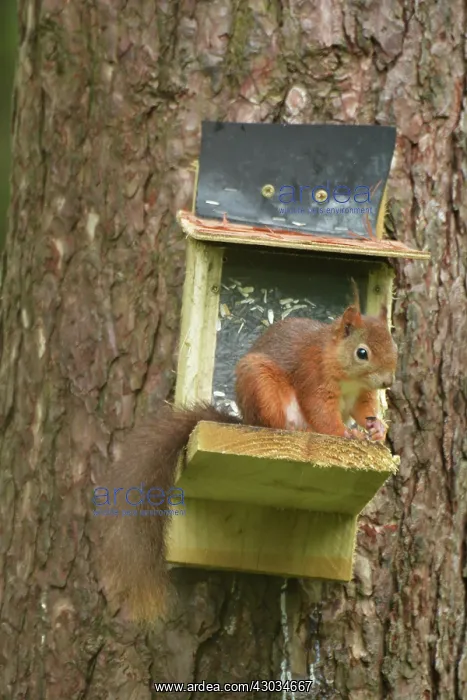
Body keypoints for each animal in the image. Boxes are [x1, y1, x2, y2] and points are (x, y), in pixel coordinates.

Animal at [97, 287, 397, 622]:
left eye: (393, 344)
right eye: (362, 353)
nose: (388, 381)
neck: (342, 368)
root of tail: (244, 421)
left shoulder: (362, 395)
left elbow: (364, 408)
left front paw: (376, 428)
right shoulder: (313, 379)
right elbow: (322, 413)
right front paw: (346, 434)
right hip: (260, 385)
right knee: (275, 422)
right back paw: (294, 430)